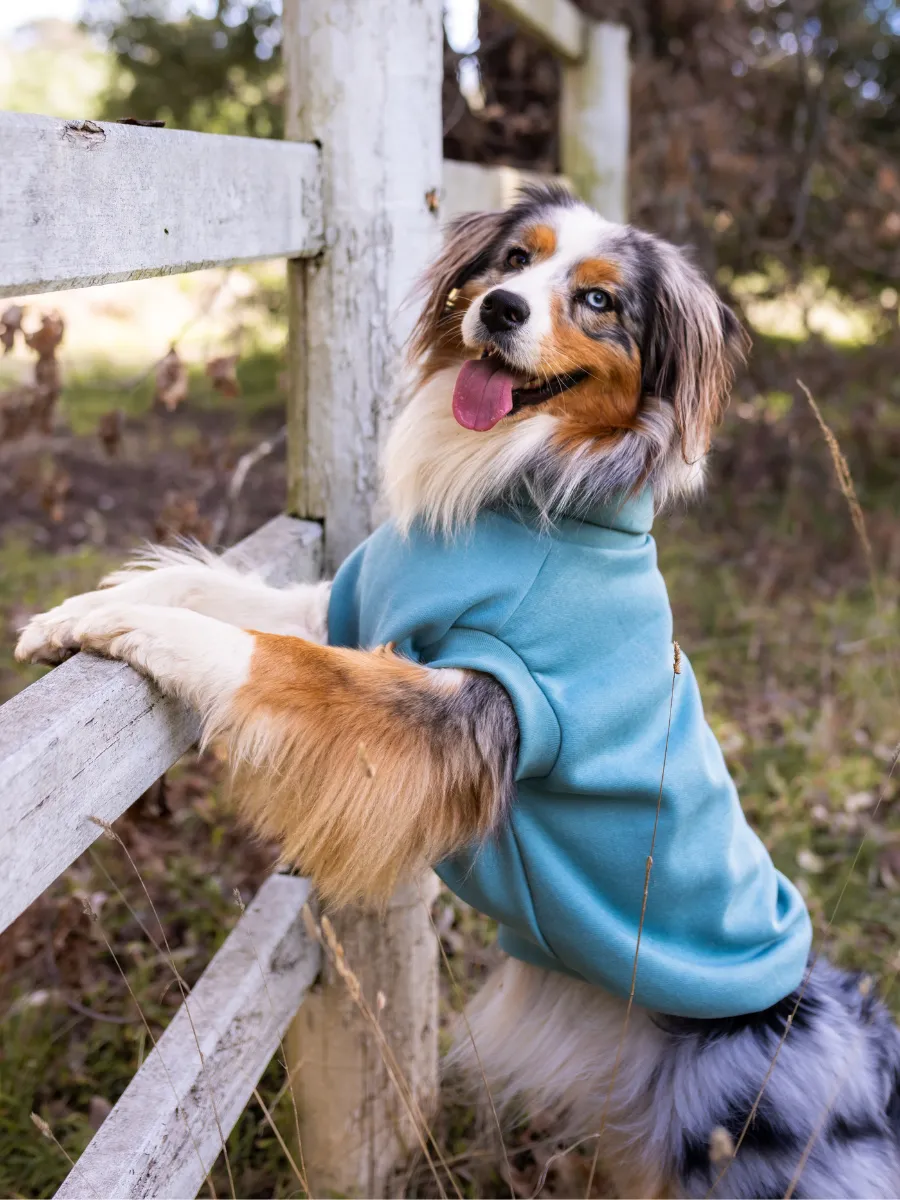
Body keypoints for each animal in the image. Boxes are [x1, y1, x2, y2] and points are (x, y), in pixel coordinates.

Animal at [15, 180, 900, 1200]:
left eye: (599, 300)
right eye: (517, 260)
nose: (503, 310)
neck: (517, 488)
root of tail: (838, 1028)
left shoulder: (449, 710)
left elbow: (266, 656)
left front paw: (140, 632)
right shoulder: (353, 607)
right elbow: (232, 597)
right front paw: (82, 613)